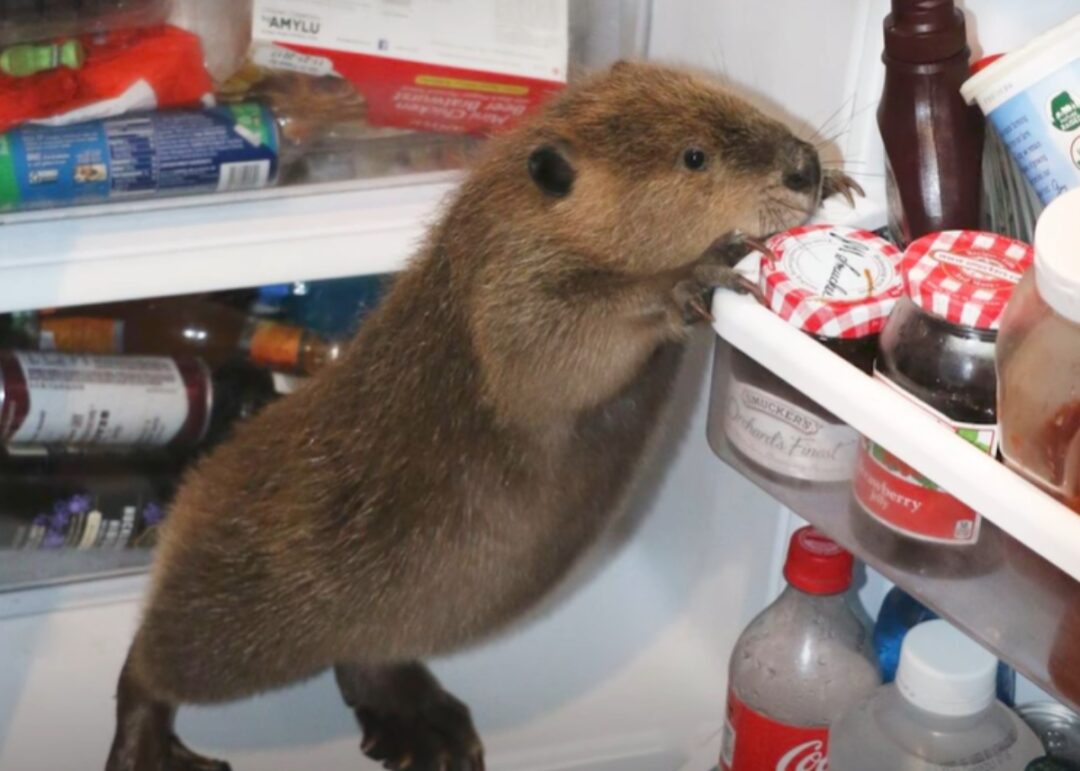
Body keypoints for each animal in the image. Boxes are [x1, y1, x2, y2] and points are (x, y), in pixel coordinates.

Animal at [103, 61, 859, 768]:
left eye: (731, 101)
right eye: (694, 156)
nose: (803, 165)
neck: (520, 213)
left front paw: (842, 184)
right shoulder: (500, 288)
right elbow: (552, 349)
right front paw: (702, 268)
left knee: (365, 658)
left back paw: (430, 732)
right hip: (239, 614)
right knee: (154, 662)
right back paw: (149, 744)